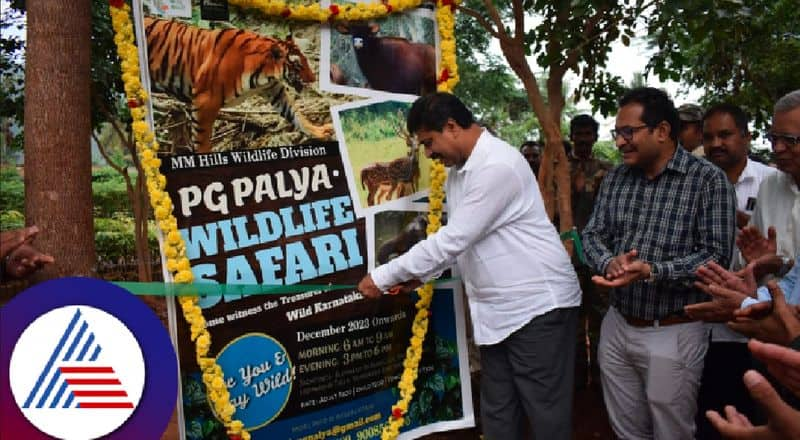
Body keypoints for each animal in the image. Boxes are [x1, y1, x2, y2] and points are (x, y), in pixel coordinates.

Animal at [142, 16, 332, 155]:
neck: (265, 74)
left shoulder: (274, 90)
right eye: (298, 65)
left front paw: (317, 131)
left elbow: (295, 113)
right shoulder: (204, 102)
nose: (313, 78)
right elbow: (202, 139)